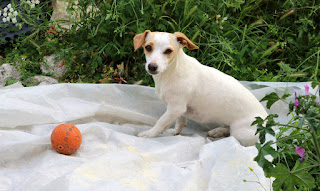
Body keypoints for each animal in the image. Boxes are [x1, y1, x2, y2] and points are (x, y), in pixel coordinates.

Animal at [132, 29, 268, 146]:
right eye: (148, 47)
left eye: (168, 51)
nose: (152, 67)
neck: (171, 72)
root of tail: (267, 123)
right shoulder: (180, 110)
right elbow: (180, 123)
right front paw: (175, 133)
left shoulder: (175, 108)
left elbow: (161, 122)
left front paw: (150, 134)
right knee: (227, 128)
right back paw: (217, 131)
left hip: (240, 133)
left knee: (234, 137)